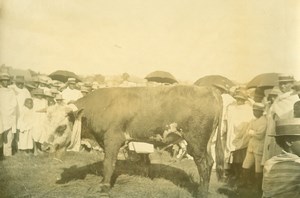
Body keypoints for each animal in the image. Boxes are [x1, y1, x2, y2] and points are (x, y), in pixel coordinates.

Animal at [44, 85, 224, 198]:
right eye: (47, 122)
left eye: (61, 127)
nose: (44, 146)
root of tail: (210, 90)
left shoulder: (113, 139)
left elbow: (108, 163)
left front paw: (104, 186)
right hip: (205, 143)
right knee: (210, 162)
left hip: (196, 142)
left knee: (203, 165)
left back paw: (201, 193)